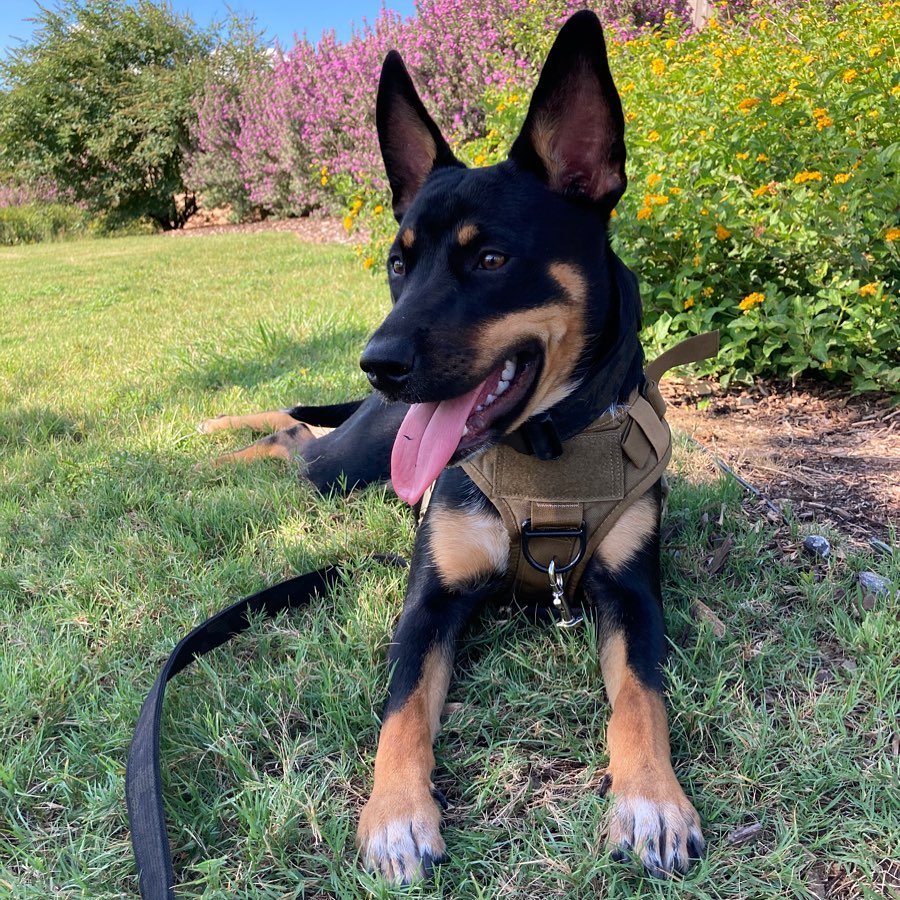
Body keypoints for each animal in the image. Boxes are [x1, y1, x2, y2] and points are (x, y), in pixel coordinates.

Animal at [200, 12, 708, 884]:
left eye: (492, 258)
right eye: (398, 262)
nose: (379, 362)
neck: (543, 453)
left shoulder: (633, 594)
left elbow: (641, 701)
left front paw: (652, 802)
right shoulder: (428, 602)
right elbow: (402, 712)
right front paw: (398, 815)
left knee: (298, 428)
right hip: (345, 468)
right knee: (290, 432)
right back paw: (208, 444)